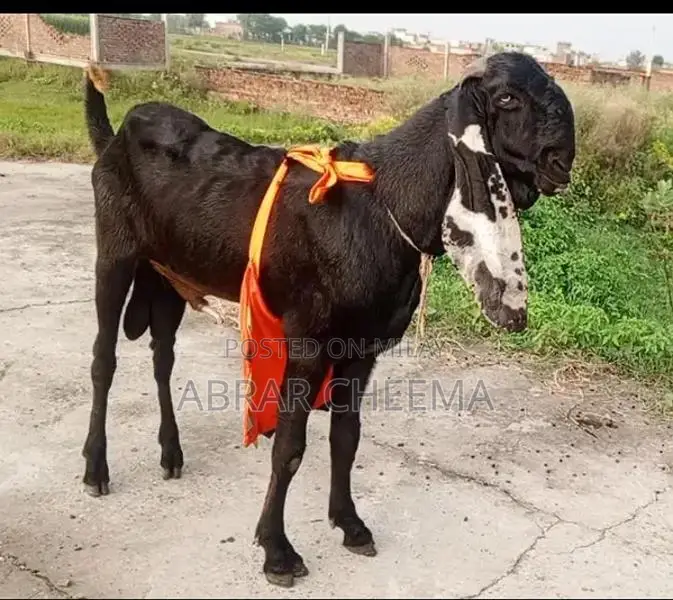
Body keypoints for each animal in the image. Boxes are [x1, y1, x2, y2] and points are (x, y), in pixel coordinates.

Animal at [81, 51, 575, 587]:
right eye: (507, 97)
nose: (561, 160)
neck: (384, 203)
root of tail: (115, 137)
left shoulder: (362, 348)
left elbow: (346, 438)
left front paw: (350, 523)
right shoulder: (308, 342)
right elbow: (290, 447)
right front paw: (276, 550)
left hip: (168, 276)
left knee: (162, 358)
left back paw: (171, 454)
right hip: (114, 254)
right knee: (104, 360)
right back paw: (95, 469)